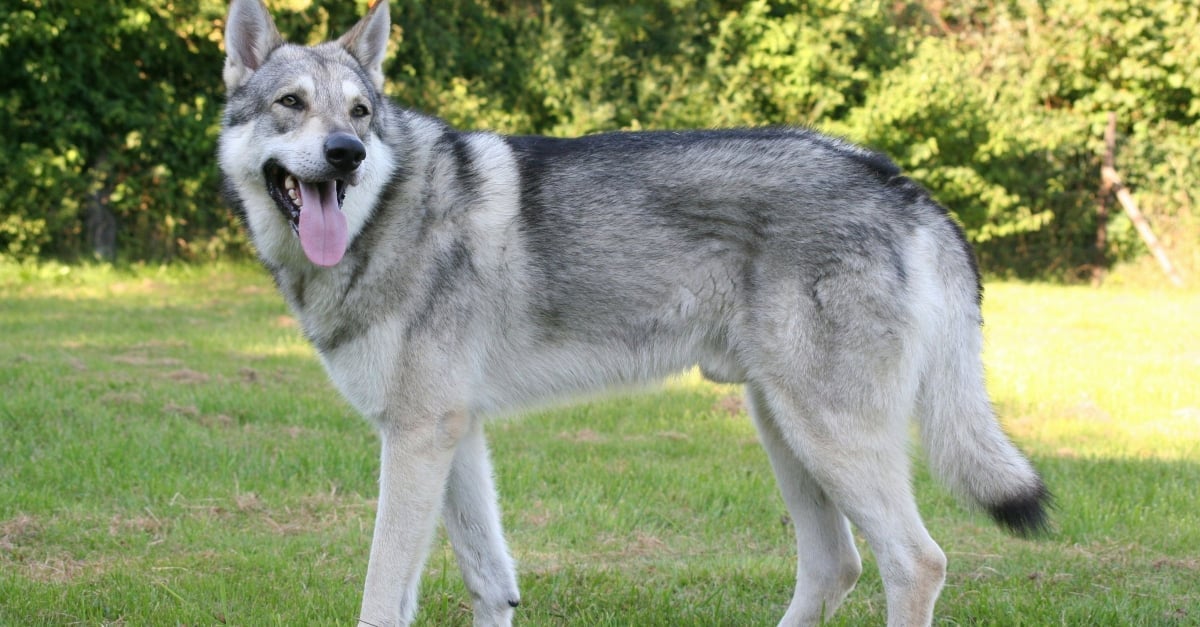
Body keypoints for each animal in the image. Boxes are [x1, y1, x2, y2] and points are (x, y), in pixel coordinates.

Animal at [218, 2, 1051, 619]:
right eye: (292, 104)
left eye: (360, 111)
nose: (346, 152)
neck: (388, 215)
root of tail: (898, 181)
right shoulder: (453, 430)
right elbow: (491, 582)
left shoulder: (420, 434)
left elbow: (381, 595)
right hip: (784, 428)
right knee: (834, 566)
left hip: (828, 436)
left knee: (916, 563)